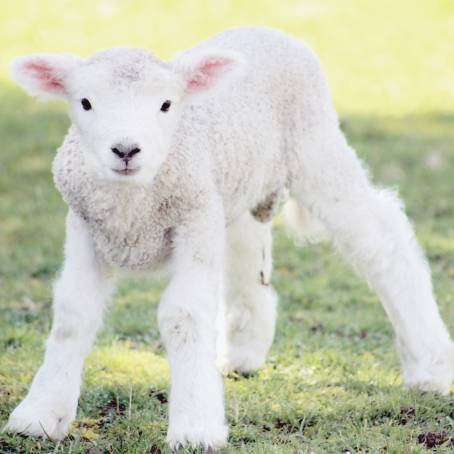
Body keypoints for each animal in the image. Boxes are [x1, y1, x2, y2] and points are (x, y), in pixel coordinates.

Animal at [4, 26, 454, 448]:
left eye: (166, 104)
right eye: (85, 102)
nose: (126, 150)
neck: (134, 202)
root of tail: (269, 29)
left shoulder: (194, 216)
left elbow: (183, 315)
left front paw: (195, 428)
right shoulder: (86, 225)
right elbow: (73, 314)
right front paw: (39, 414)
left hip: (314, 144)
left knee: (381, 239)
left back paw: (430, 366)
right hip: (238, 183)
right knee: (247, 250)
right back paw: (243, 353)